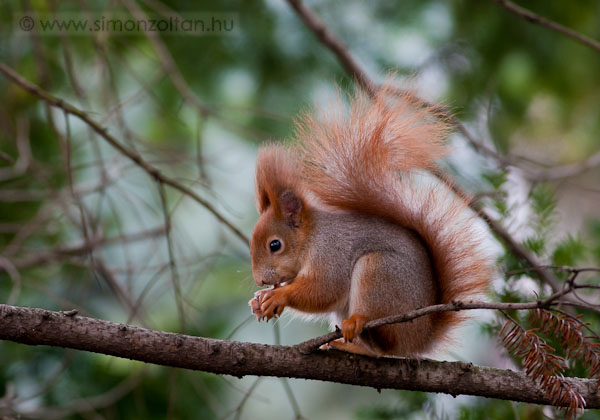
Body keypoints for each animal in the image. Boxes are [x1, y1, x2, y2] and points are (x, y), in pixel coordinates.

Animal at [247, 86, 492, 358]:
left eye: (275, 245)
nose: (260, 280)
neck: (311, 237)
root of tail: (420, 339)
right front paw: (259, 299)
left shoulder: (331, 252)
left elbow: (324, 289)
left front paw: (278, 296)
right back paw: (346, 344)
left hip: (378, 272)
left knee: (384, 345)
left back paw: (359, 322)